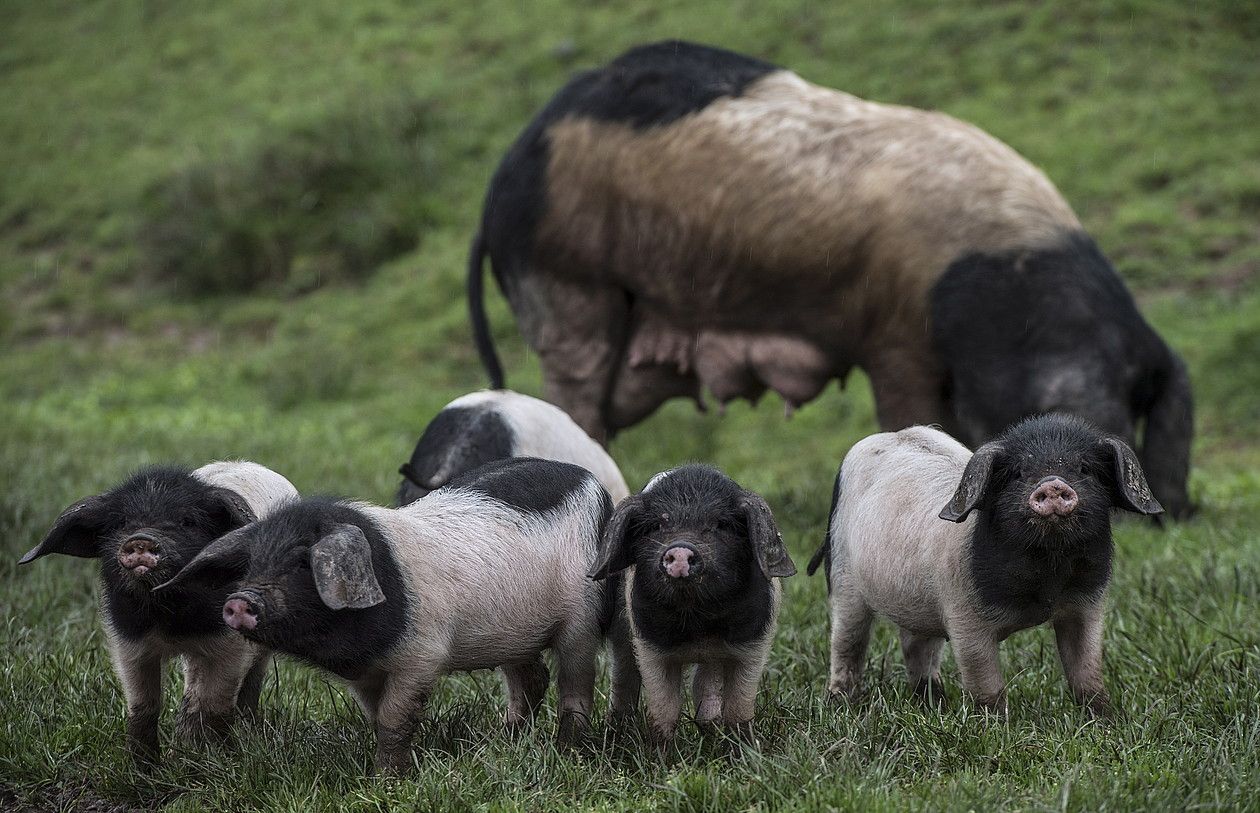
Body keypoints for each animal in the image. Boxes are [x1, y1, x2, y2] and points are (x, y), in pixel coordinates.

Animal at [18, 458, 298, 756]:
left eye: (187, 521)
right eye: (122, 522)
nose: (141, 538)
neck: (168, 621)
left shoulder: (230, 643)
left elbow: (214, 704)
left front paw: (212, 757)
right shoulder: (127, 641)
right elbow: (143, 706)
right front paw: (144, 765)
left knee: (248, 680)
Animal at [154, 456, 617, 766]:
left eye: (303, 563)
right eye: (251, 565)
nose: (239, 601)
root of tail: (594, 484)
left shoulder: (423, 656)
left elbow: (396, 719)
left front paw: (388, 780)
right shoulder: (364, 673)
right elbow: (377, 718)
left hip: (582, 616)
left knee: (575, 685)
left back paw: (567, 752)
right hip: (514, 634)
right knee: (531, 678)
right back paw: (507, 739)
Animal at [584, 463, 791, 741]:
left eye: (720, 524)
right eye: (658, 525)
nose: (680, 549)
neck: (698, 622)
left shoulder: (753, 644)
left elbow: (739, 707)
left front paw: (745, 746)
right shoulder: (651, 647)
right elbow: (664, 709)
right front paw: (661, 750)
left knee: (705, 686)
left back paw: (711, 729)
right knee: (624, 673)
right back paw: (617, 728)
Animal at [806, 415, 1159, 715]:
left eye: (1084, 468)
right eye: (1018, 473)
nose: (1053, 484)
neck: (1045, 582)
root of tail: (889, 435)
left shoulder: (1087, 604)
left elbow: (1086, 668)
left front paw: (1105, 719)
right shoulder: (964, 615)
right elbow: (984, 680)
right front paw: (997, 725)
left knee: (916, 645)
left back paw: (934, 703)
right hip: (843, 574)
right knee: (847, 641)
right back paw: (840, 702)